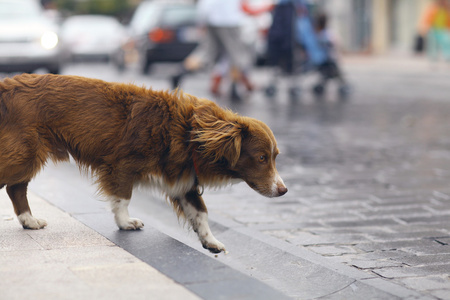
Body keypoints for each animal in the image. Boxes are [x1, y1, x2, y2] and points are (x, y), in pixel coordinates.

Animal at [0, 73, 286, 253]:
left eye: (275, 157)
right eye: (262, 158)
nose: (284, 190)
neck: (188, 133)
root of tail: (6, 85)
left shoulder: (183, 182)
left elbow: (201, 214)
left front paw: (211, 241)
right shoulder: (120, 166)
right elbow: (123, 198)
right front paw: (125, 223)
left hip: (26, 157)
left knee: (15, 188)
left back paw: (29, 221)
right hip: (24, 154)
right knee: (13, 185)